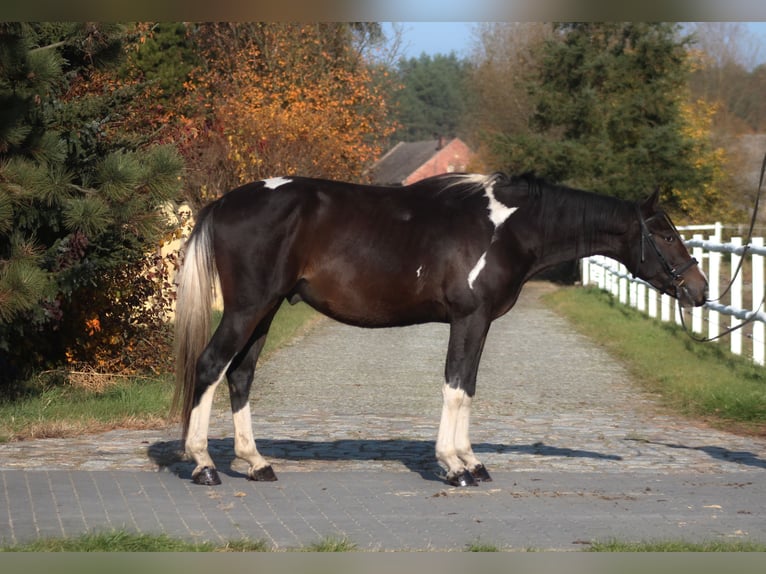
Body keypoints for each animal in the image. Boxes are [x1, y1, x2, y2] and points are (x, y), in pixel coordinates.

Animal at [172, 173, 708, 488]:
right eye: (664, 234)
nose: (699, 290)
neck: (507, 228)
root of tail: (226, 202)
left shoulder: (479, 322)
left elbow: (467, 388)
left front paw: (472, 461)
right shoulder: (468, 318)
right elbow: (454, 387)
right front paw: (453, 466)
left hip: (264, 312)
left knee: (241, 376)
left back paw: (256, 463)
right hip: (248, 308)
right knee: (211, 366)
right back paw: (203, 465)